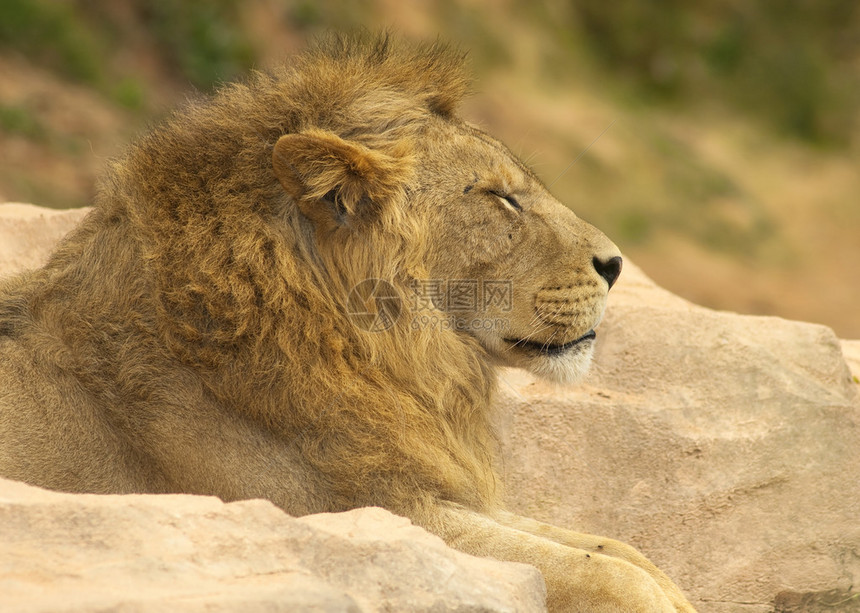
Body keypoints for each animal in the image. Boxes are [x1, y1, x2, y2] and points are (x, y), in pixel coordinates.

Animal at [0, 34, 696, 612]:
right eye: (500, 198)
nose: (616, 264)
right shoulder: (358, 512)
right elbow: (608, 573)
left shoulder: (435, 489)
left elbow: (622, 552)